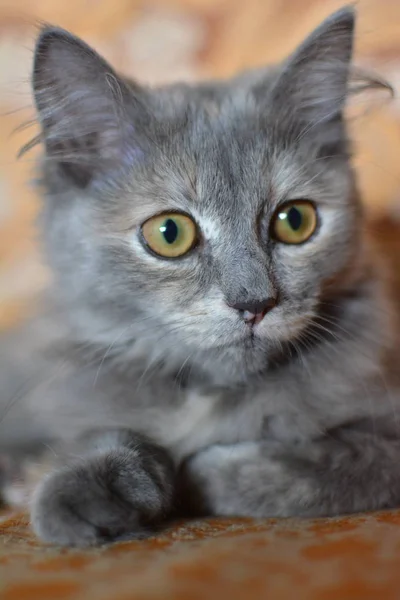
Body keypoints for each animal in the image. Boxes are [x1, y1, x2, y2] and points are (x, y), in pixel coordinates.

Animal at [1, 7, 398, 548]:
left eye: (295, 221)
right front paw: (88, 490)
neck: (211, 393)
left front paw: (202, 471)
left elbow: (327, 468)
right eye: (170, 233)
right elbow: (106, 430)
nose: (254, 303)